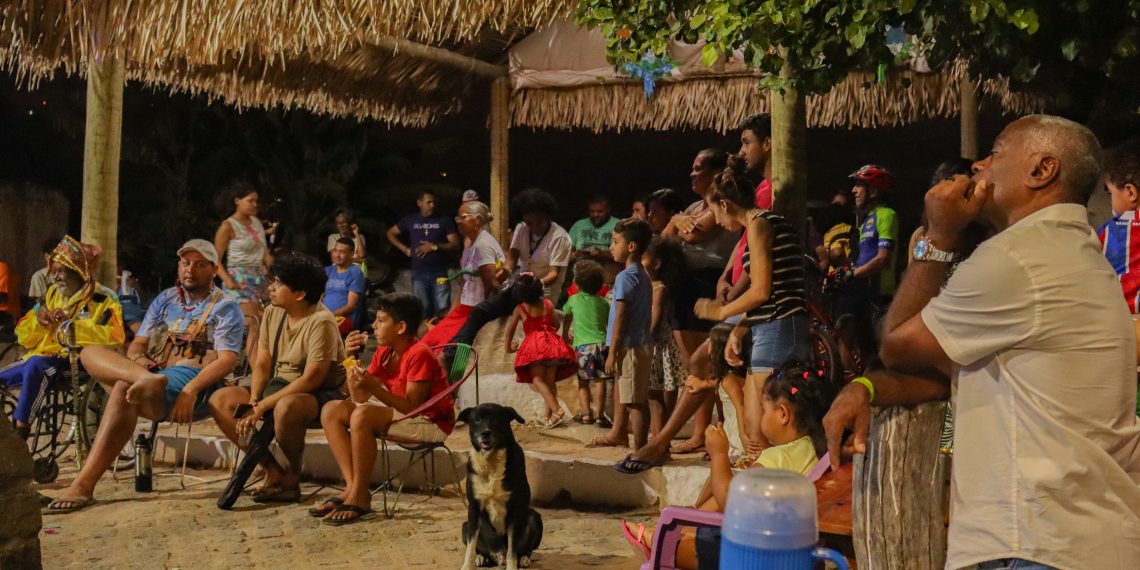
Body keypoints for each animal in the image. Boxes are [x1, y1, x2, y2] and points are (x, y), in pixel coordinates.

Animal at [458, 403, 542, 567]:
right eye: (477, 420)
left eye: (496, 419)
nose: (485, 433)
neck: (491, 462)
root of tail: (498, 555)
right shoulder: (474, 509)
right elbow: (471, 546)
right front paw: (467, 565)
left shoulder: (515, 508)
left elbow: (512, 550)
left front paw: (512, 566)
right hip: (465, 526)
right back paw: (482, 557)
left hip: (534, 518)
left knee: (523, 549)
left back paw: (524, 558)